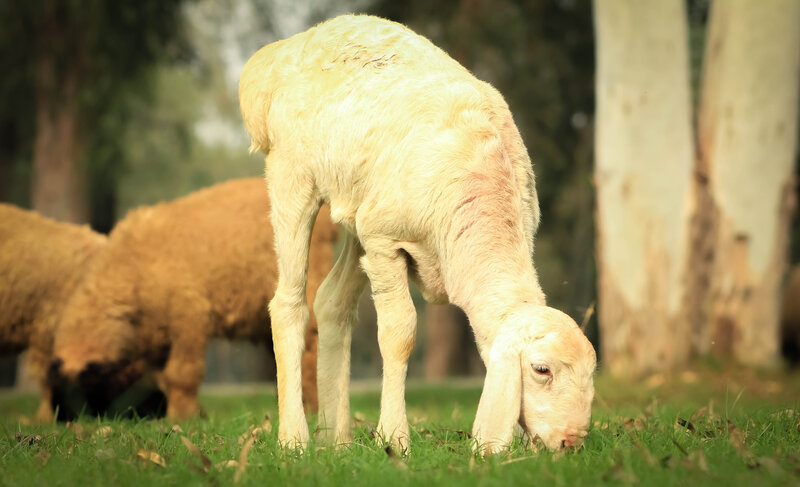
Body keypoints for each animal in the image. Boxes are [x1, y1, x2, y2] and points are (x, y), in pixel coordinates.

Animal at [51, 178, 336, 419]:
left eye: (88, 387)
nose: (68, 421)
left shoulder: (189, 317)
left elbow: (181, 374)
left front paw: (183, 418)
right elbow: (164, 378)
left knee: (311, 350)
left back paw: (312, 410)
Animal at [239, 14, 597, 454]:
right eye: (541, 369)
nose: (570, 442)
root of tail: (280, 53)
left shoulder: (374, 230)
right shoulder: (385, 242)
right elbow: (400, 334)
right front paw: (394, 439)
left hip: (359, 212)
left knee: (331, 302)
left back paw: (336, 440)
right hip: (293, 178)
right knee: (288, 304)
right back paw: (294, 439)